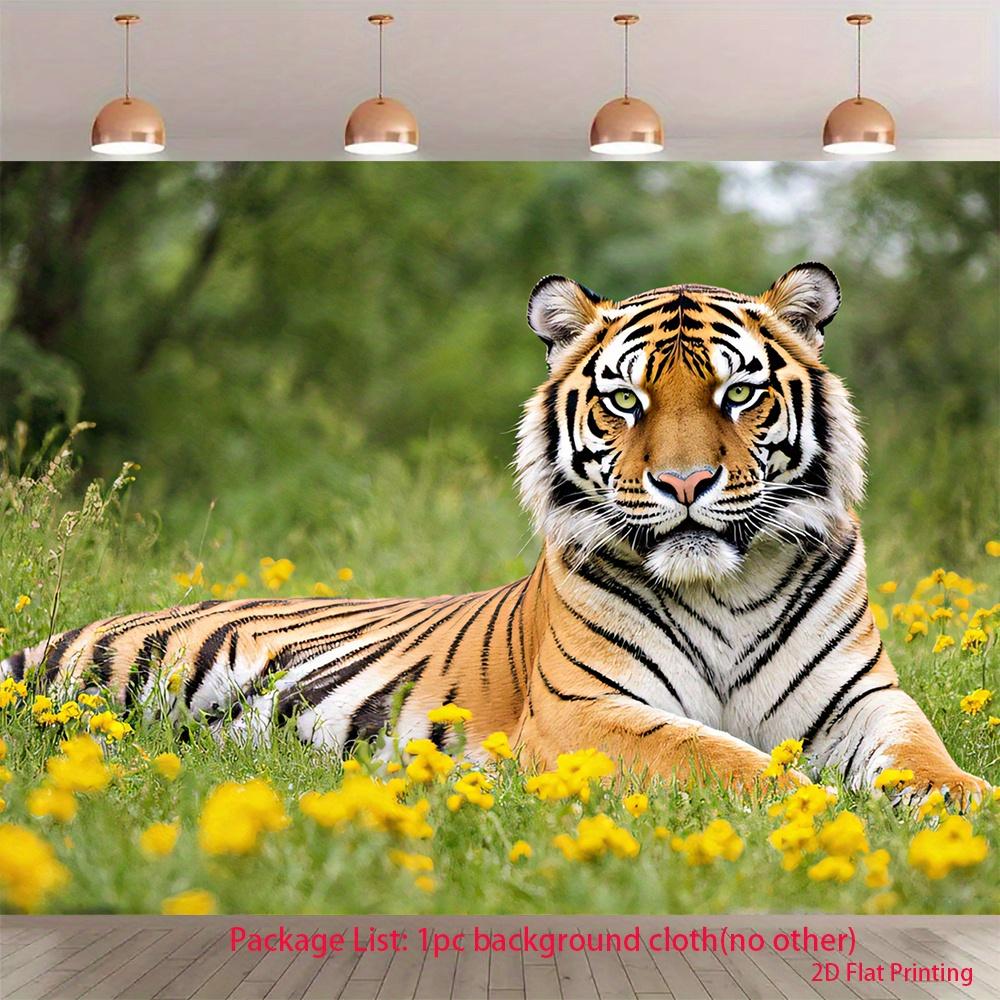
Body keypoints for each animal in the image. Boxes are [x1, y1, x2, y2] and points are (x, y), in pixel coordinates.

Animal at [3, 263, 990, 802]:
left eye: (737, 393)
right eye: (627, 400)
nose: (683, 484)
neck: (725, 584)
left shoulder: (863, 699)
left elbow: (927, 759)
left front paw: (965, 805)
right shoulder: (586, 711)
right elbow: (729, 762)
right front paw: (818, 807)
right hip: (108, 683)